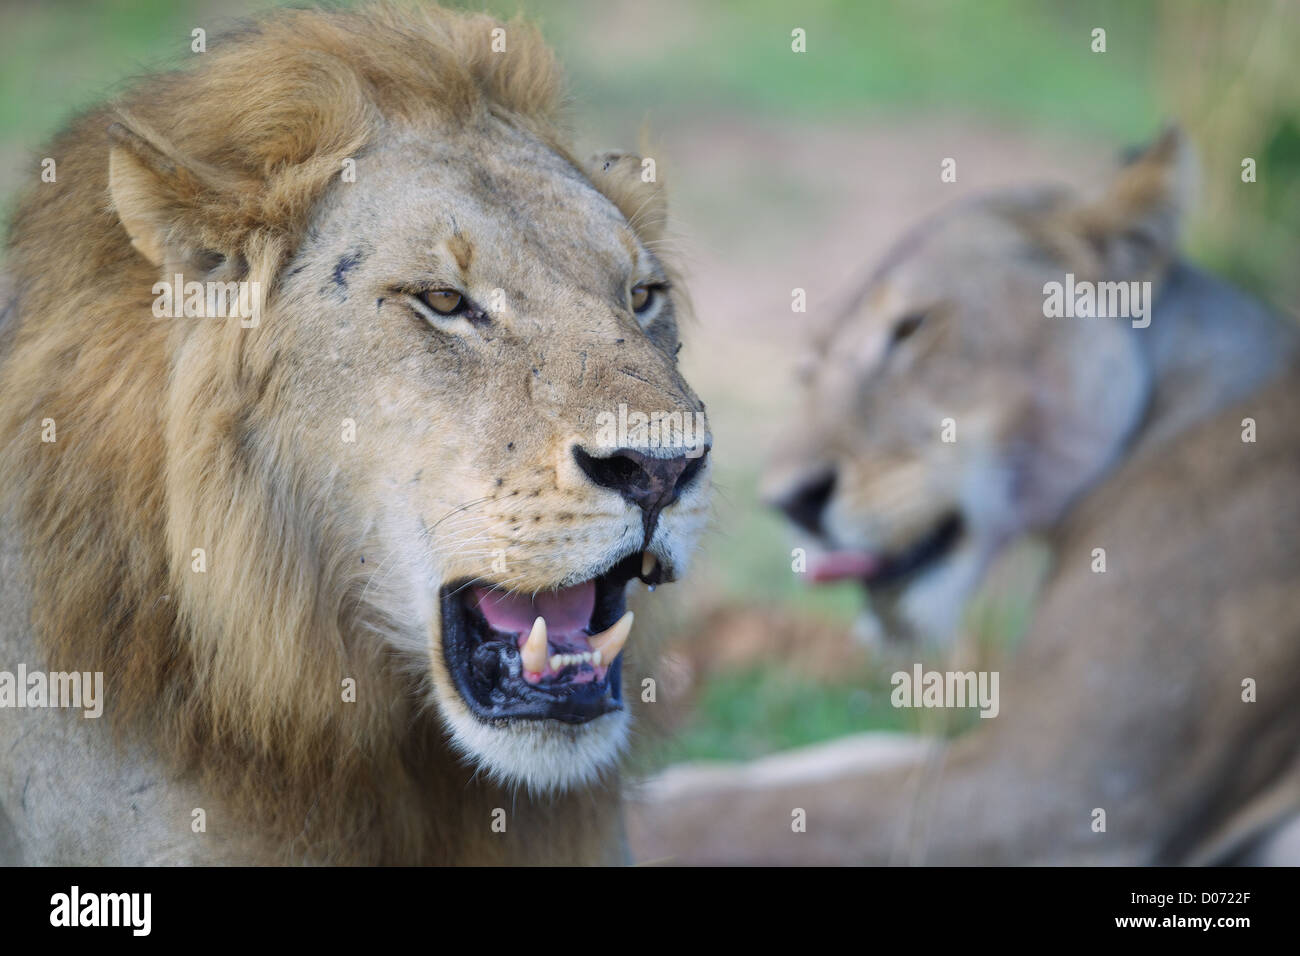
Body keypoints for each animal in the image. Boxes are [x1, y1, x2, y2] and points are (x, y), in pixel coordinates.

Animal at [624, 128, 1294, 868]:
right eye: (808, 371)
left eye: (912, 329)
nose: (789, 502)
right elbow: (854, 754)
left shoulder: (1065, 788)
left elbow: (759, 814)